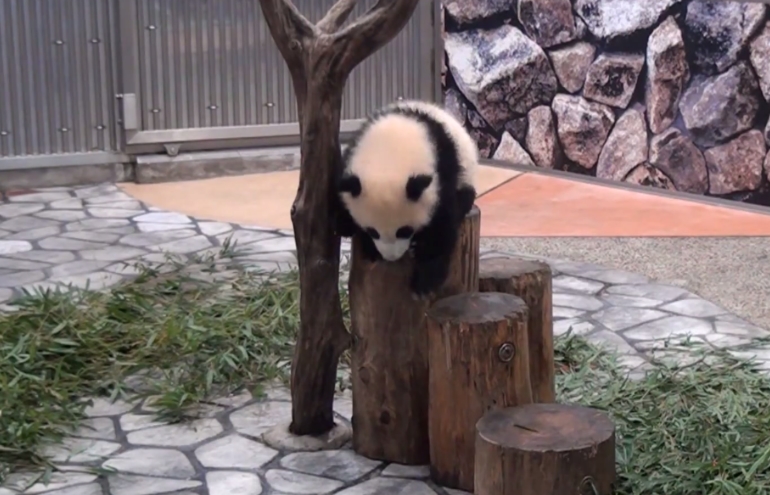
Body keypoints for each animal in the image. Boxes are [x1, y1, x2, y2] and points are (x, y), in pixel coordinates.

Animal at [334, 99, 479, 299]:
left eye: (404, 230)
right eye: (373, 231)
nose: (391, 257)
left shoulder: (441, 173)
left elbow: (442, 225)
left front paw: (425, 282)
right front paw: (348, 227)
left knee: (465, 197)